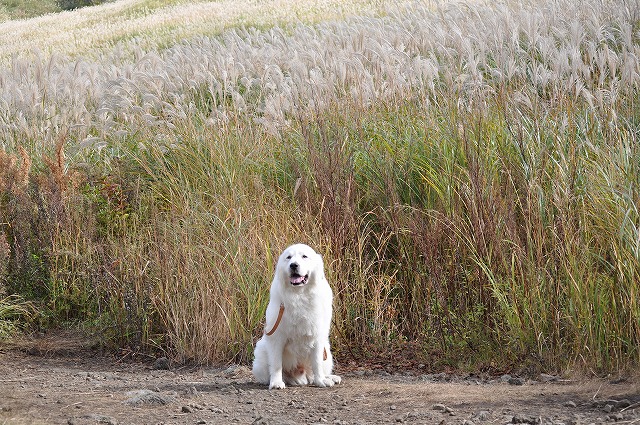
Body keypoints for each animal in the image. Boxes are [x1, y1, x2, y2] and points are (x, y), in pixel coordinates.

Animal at [251, 242, 342, 388]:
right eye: (288, 257)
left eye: (304, 256)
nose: (293, 265)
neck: (299, 294)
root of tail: (302, 374)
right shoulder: (277, 337)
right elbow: (276, 364)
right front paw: (276, 382)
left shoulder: (318, 336)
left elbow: (317, 363)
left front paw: (321, 381)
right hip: (261, 351)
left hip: (327, 352)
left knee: (315, 371)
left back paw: (329, 377)